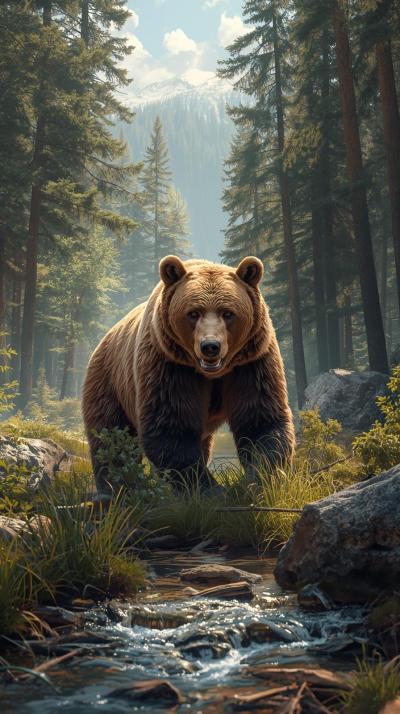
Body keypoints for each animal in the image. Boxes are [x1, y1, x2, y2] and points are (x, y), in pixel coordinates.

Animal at [82, 255, 295, 494]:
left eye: (228, 313)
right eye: (193, 313)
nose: (210, 346)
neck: (212, 373)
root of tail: (104, 338)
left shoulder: (251, 363)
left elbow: (259, 419)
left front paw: (261, 479)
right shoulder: (169, 365)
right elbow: (172, 426)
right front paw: (208, 489)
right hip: (110, 382)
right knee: (112, 438)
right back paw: (115, 487)